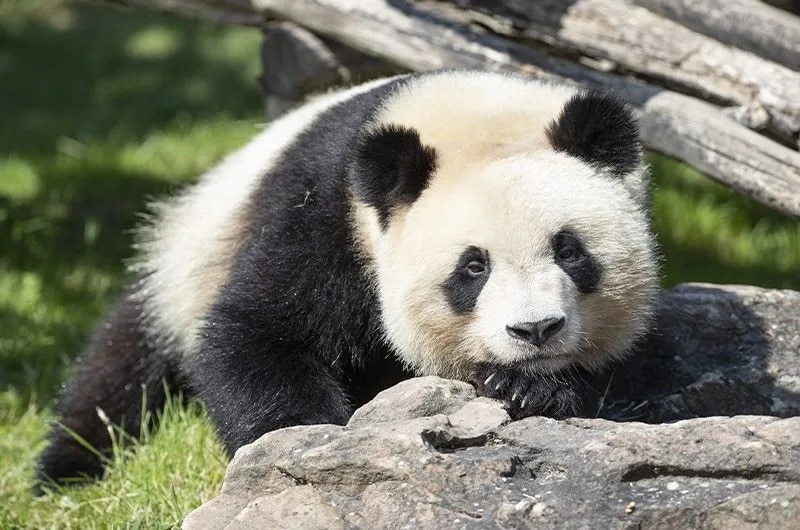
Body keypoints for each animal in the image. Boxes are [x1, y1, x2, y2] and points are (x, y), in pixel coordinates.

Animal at [36, 70, 659, 487]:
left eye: (569, 251)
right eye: (473, 267)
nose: (536, 331)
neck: (471, 117)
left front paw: (531, 388)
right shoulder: (326, 212)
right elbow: (255, 333)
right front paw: (308, 447)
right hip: (182, 261)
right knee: (118, 371)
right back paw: (69, 471)